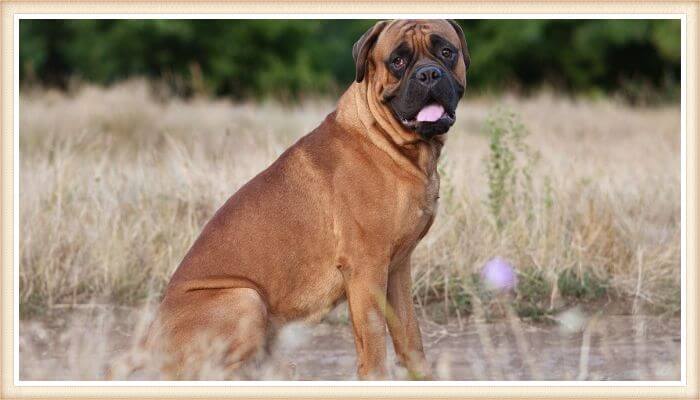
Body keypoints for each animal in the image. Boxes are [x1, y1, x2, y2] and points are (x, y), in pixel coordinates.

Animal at [150, 19, 474, 382]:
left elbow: (409, 334)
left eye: (447, 51)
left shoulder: (398, 267)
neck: (391, 142)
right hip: (245, 298)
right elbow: (374, 339)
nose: (429, 74)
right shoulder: (366, 268)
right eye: (398, 61)